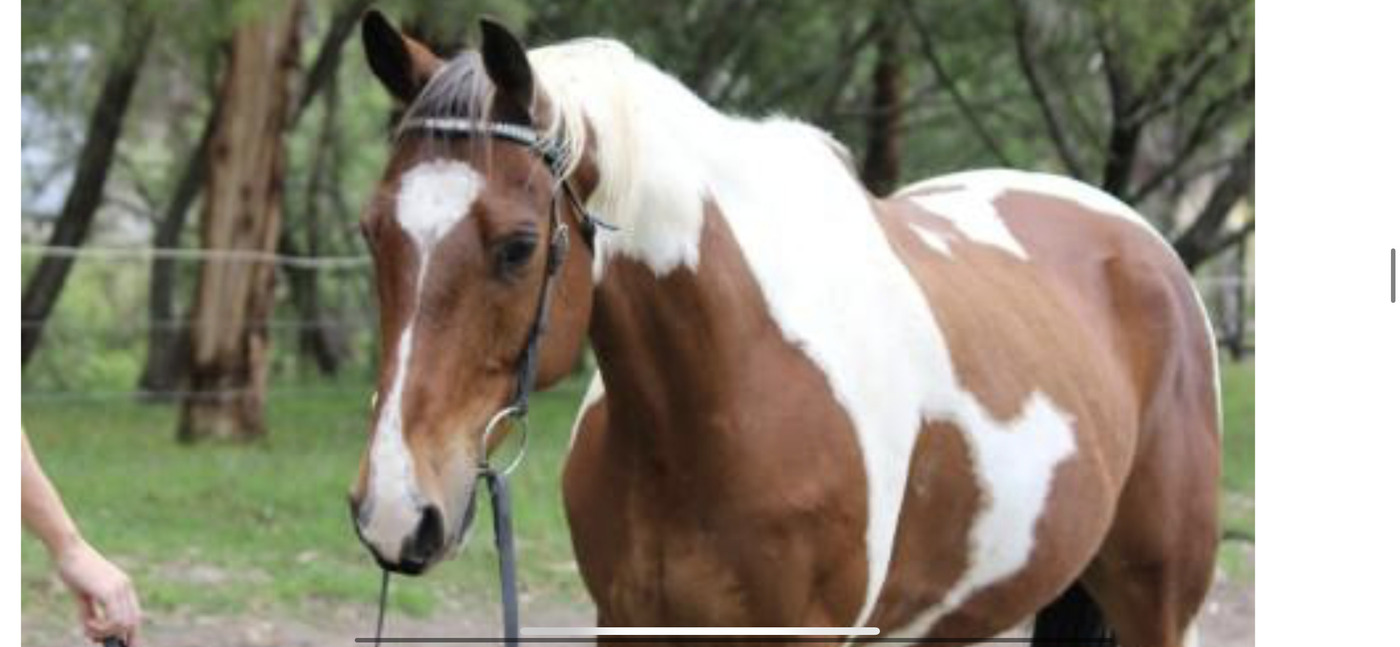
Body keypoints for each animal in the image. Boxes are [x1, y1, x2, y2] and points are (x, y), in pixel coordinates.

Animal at [346, 12, 1221, 647]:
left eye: (519, 246)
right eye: (371, 231)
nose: (394, 508)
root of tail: (1144, 244)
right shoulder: (632, 623)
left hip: (1155, 600)